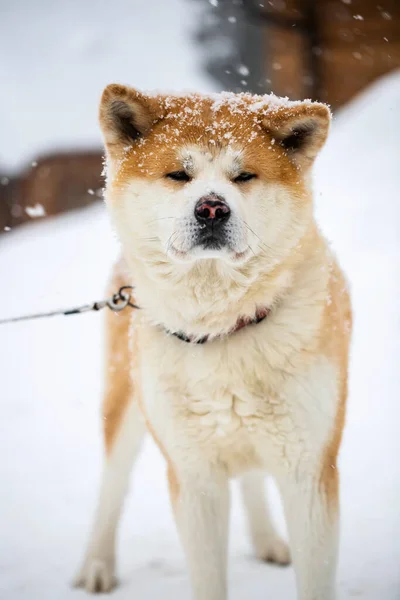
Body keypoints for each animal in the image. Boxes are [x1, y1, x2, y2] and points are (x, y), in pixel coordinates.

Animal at [73, 85, 352, 600]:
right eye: (178, 174)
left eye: (243, 176)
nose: (211, 208)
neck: (222, 326)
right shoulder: (194, 477)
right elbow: (206, 575)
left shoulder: (309, 471)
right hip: (127, 406)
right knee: (111, 487)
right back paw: (96, 565)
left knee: (251, 479)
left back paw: (266, 539)